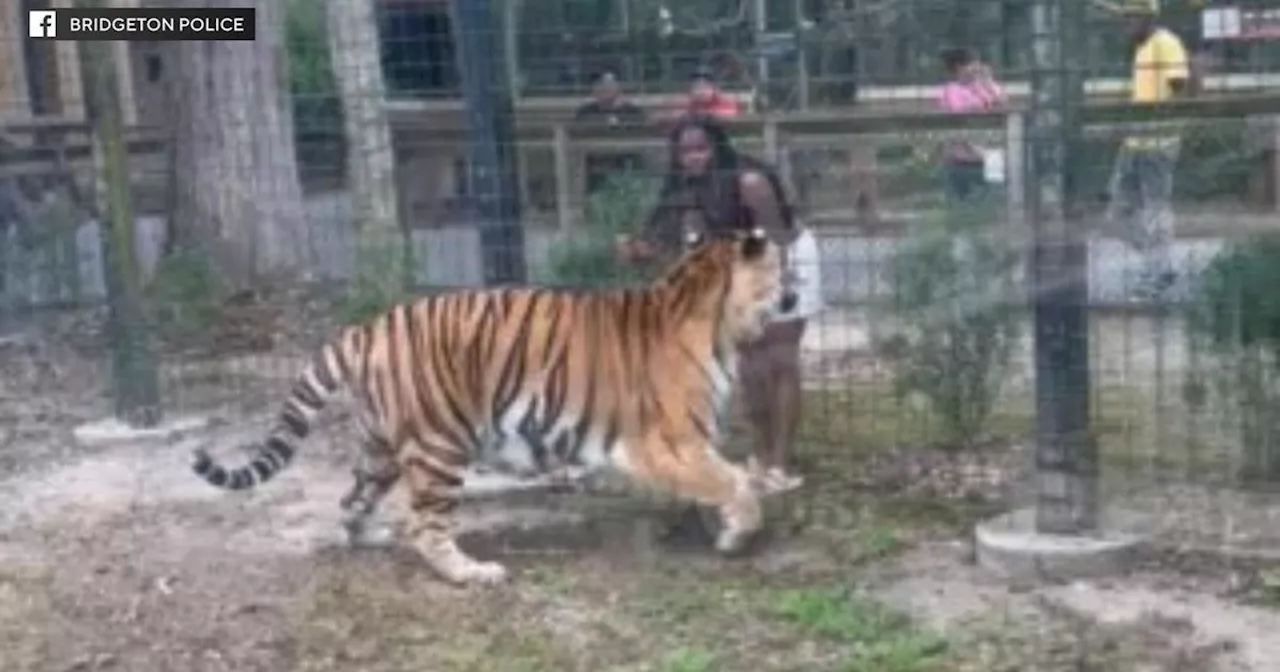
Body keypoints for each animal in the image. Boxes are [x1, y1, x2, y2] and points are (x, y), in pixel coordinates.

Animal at [190, 225, 793, 581]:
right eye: (783, 267)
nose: (794, 293)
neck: (717, 317)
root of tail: (368, 328)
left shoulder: (690, 443)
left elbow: (723, 478)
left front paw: (722, 527)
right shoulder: (666, 441)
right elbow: (733, 480)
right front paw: (740, 532)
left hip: (379, 449)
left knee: (353, 501)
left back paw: (371, 538)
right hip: (440, 445)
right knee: (424, 526)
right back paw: (473, 573)